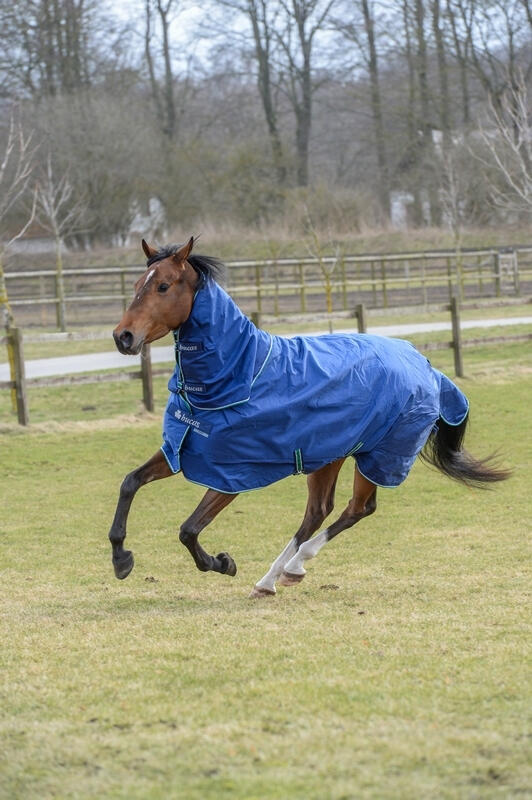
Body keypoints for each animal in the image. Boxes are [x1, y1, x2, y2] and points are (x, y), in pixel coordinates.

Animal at [109, 238, 510, 598]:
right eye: (136, 285)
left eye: (162, 286)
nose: (123, 336)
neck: (236, 377)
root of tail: (427, 367)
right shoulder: (182, 449)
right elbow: (130, 482)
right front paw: (121, 559)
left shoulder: (231, 475)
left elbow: (188, 530)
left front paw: (222, 563)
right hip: (327, 454)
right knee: (318, 512)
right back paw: (272, 579)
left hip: (376, 457)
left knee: (357, 509)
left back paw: (293, 567)